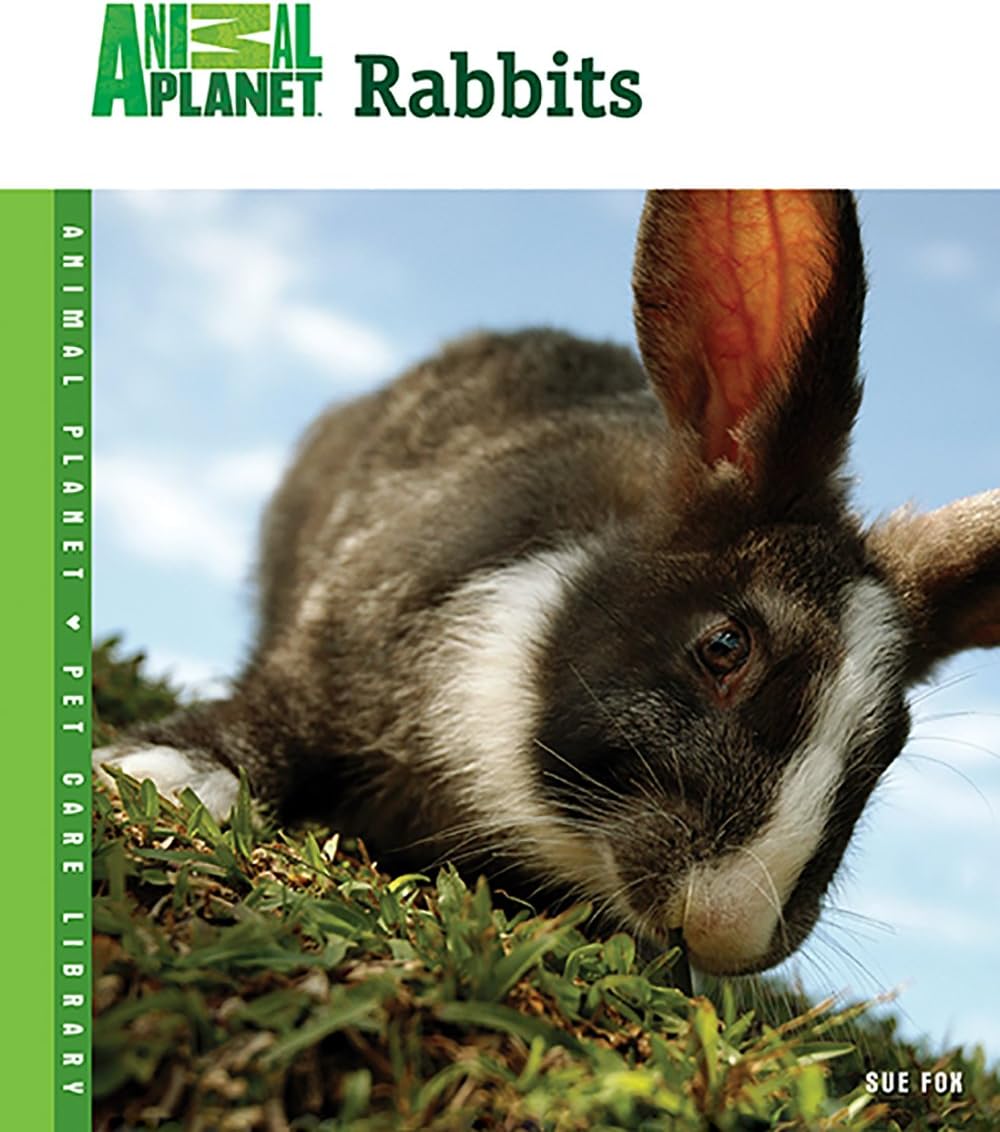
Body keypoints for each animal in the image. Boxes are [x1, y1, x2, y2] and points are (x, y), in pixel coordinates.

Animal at [95, 190, 1000, 976]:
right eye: (724, 646)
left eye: (892, 745)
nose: (728, 923)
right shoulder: (332, 647)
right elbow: (274, 715)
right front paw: (167, 772)